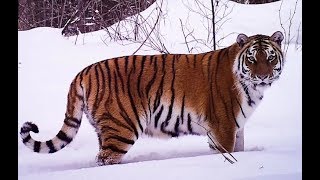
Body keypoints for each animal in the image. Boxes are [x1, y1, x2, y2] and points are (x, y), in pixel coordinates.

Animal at [20, 30, 284, 165]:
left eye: (270, 57)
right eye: (252, 58)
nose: (263, 76)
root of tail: (82, 72)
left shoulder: (236, 128)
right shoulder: (223, 128)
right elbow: (228, 155)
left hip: (105, 129)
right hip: (122, 128)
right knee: (106, 159)